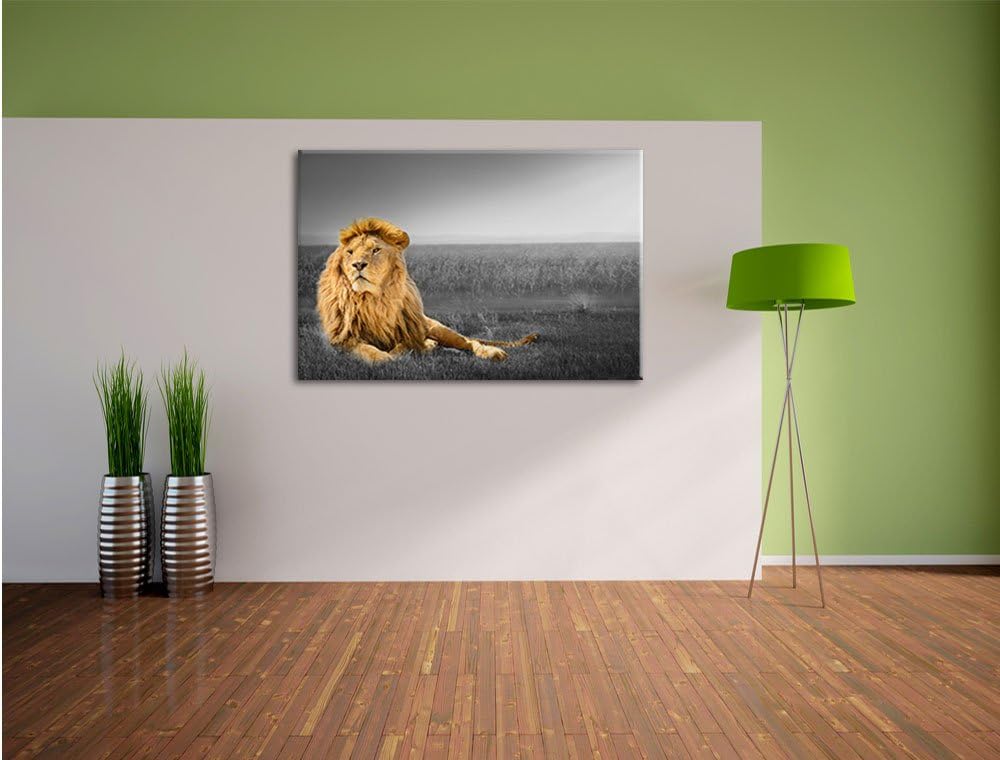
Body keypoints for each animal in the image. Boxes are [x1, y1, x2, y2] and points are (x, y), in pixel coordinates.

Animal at [316, 217, 538, 365]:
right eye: (350, 252)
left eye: (376, 250)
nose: (358, 265)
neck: (373, 300)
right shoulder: (341, 341)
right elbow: (365, 349)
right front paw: (382, 357)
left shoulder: (411, 333)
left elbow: (406, 346)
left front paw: (408, 352)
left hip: (438, 329)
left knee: (469, 342)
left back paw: (491, 352)